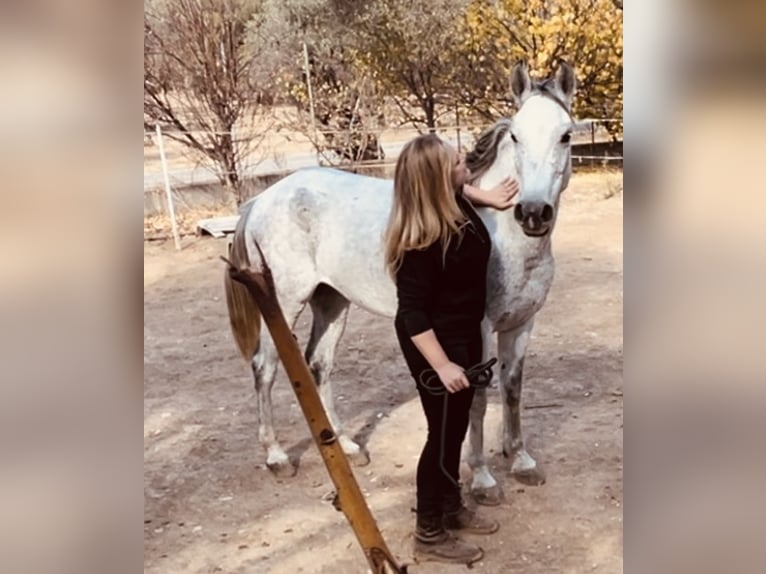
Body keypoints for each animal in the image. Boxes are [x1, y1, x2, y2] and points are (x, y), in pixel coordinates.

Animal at [224, 60, 576, 504]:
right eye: (515, 135)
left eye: (566, 135)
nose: (532, 213)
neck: (502, 238)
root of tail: (262, 200)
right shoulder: (477, 328)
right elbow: (478, 399)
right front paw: (482, 480)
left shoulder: (521, 324)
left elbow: (513, 389)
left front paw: (522, 461)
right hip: (284, 302)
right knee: (265, 367)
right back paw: (276, 457)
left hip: (332, 300)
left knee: (318, 365)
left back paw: (348, 447)